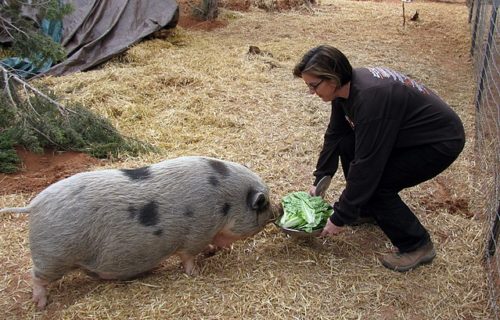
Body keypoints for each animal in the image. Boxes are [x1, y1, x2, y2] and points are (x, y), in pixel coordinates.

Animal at [0, 156, 280, 308]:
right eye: (263, 204)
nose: (276, 212)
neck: (225, 203)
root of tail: (33, 205)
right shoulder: (196, 233)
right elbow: (188, 257)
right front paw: (196, 273)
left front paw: (213, 252)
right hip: (53, 256)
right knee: (35, 276)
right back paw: (41, 305)